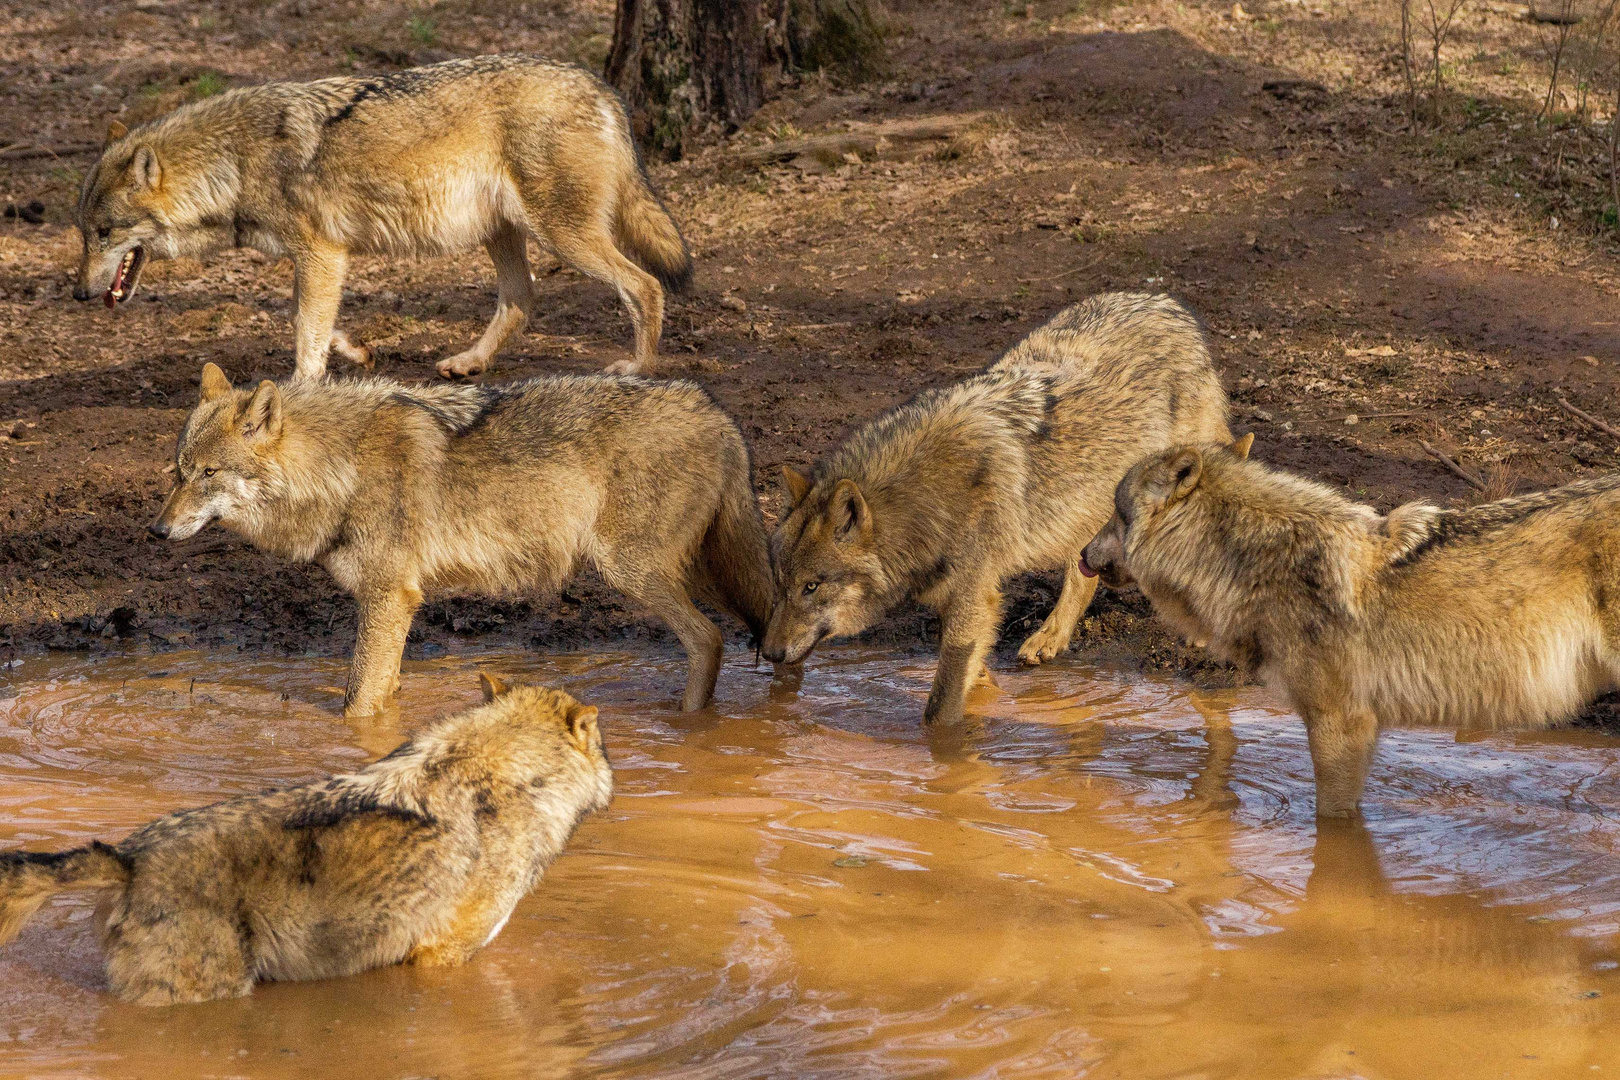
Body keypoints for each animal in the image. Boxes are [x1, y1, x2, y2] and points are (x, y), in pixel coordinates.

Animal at [72, 58, 693, 383]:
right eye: (83, 234)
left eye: (105, 233)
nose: (77, 294)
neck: (234, 163)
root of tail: (604, 88)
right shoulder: (319, 260)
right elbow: (308, 321)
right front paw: (356, 353)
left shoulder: (323, 253)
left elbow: (303, 331)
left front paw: (298, 388)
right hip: (504, 234)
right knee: (522, 301)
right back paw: (469, 363)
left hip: (562, 235)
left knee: (646, 285)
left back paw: (639, 367)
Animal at [150, 365, 784, 718]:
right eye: (178, 473)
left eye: (208, 474)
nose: (156, 531)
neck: (341, 468)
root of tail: (719, 415)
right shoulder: (398, 606)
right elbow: (385, 693)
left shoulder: (388, 598)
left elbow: (356, 706)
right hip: (703, 571)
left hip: (632, 570)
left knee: (708, 639)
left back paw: (686, 726)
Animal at [758, 291, 1224, 722]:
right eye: (780, 583)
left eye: (812, 586)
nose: (769, 653)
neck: (928, 494)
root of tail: (1164, 301)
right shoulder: (961, 599)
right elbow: (971, 665)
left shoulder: (974, 594)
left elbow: (940, 707)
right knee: (1082, 572)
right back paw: (1050, 638)